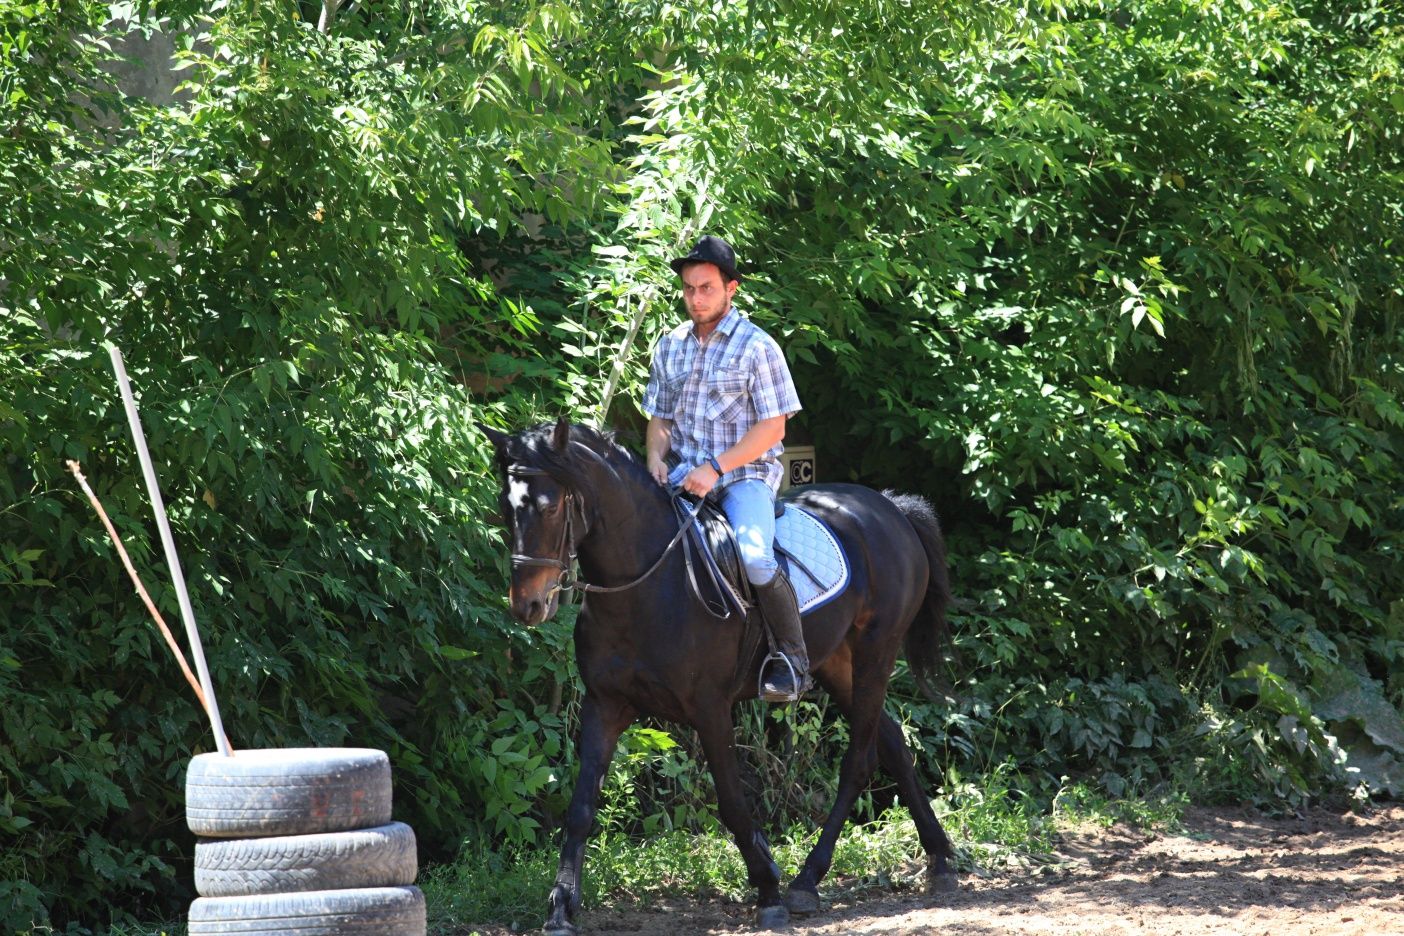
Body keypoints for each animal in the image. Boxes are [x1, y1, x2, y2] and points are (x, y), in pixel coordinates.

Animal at [480, 420, 954, 931]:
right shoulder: (604, 705)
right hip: (837, 663)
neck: (647, 584)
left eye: (550, 506)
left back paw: (807, 881)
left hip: (875, 652)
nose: (527, 605)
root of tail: (889, 507)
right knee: (893, 743)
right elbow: (581, 806)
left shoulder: (709, 709)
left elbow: (730, 801)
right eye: (505, 507)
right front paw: (561, 907)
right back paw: (941, 860)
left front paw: (768, 888)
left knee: (859, 762)